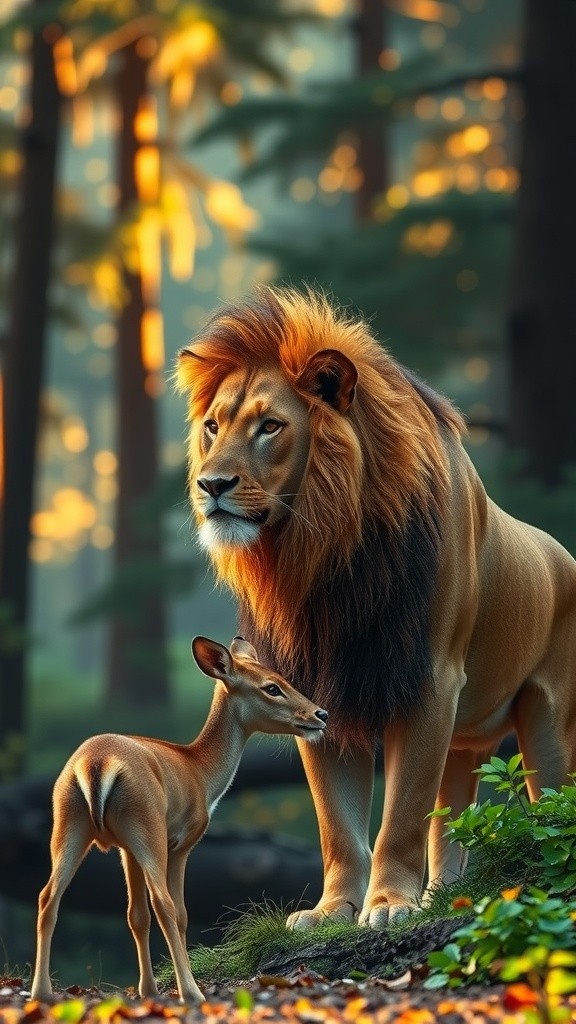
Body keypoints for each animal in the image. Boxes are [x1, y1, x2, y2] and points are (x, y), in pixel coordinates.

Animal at [31, 635, 328, 1004]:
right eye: (272, 687)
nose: (321, 714)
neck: (201, 773)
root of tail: (95, 764)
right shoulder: (184, 841)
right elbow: (181, 913)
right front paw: (168, 986)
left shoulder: (124, 849)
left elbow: (136, 915)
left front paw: (147, 989)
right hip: (148, 825)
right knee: (165, 904)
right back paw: (192, 992)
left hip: (68, 822)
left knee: (48, 897)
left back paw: (41, 992)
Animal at [177, 286, 576, 928]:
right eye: (213, 426)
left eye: (270, 426)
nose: (210, 486)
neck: (330, 556)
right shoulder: (319, 684)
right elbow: (338, 823)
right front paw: (332, 910)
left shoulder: (430, 679)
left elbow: (404, 814)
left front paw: (389, 905)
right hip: (466, 741)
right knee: (453, 821)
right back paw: (442, 898)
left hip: (547, 718)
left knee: (551, 799)